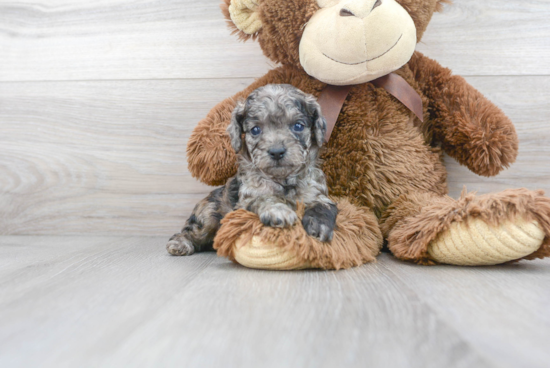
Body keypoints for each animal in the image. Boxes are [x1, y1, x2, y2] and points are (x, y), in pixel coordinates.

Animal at [168, 83, 338, 256]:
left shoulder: (318, 193)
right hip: (208, 214)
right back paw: (180, 243)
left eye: (298, 126)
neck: (283, 180)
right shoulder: (247, 198)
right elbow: (263, 198)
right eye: (256, 130)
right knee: (191, 231)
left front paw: (319, 226)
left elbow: (323, 206)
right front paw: (278, 211)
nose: (277, 152)